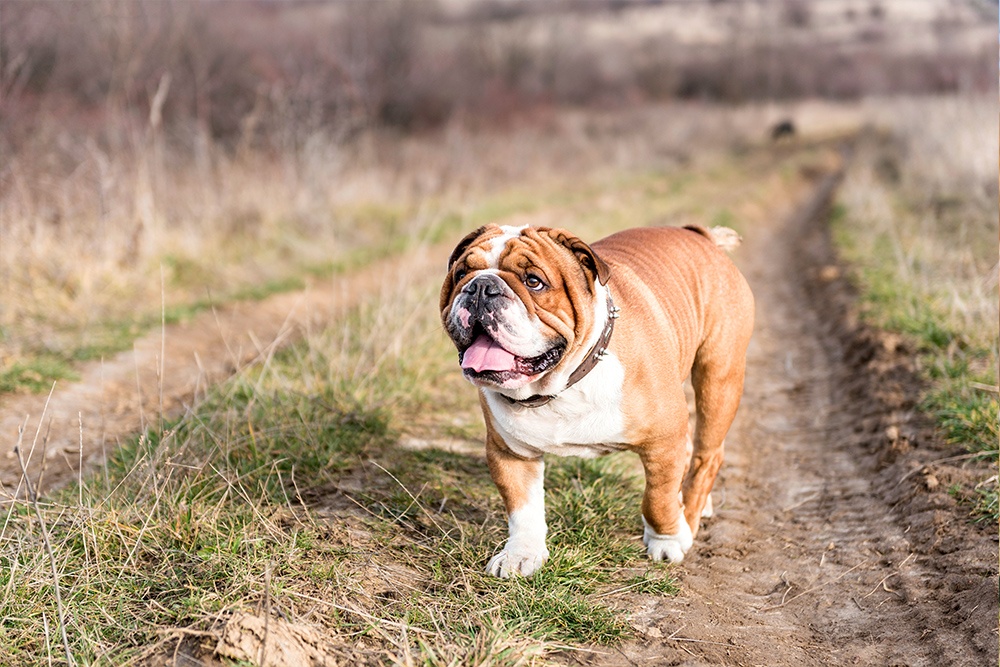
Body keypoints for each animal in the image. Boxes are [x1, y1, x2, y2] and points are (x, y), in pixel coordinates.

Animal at [442, 226, 752, 580]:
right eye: (461, 273)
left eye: (534, 281)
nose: (481, 286)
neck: (561, 385)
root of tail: (701, 235)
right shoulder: (511, 453)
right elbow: (523, 509)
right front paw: (521, 555)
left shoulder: (664, 442)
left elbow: (657, 500)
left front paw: (669, 539)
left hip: (719, 377)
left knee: (706, 456)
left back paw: (689, 517)